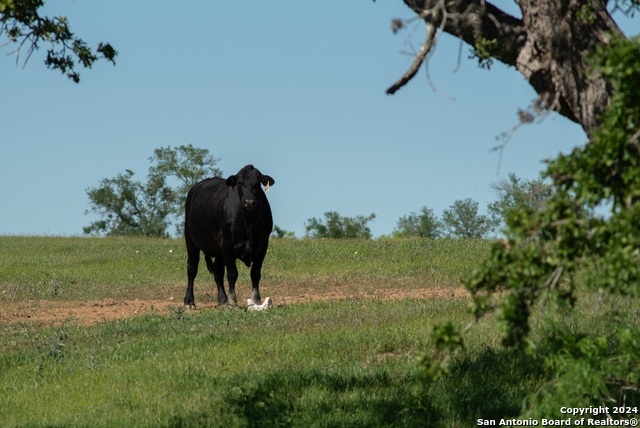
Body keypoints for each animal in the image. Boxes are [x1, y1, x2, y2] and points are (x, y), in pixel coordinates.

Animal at [184, 164, 276, 308]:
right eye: (240, 183)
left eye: (257, 183)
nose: (249, 202)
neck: (249, 223)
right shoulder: (227, 243)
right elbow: (232, 273)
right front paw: (233, 301)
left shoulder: (263, 244)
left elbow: (255, 273)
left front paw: (256, 300)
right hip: (190, 239)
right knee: (192, 268)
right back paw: (189, 302)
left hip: (218, 250)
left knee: (217, 271)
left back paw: (222, 299)